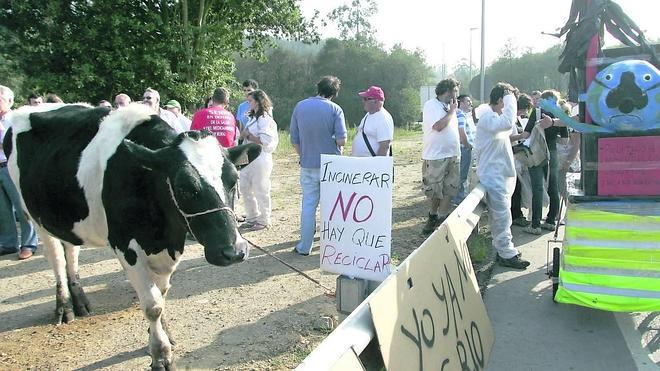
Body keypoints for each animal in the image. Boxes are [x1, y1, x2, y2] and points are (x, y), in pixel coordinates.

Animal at [3, 103, 260, 370]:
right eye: (184, 187)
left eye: (234, 179)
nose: (234, 251)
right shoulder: (126, 247)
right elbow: (153, 305)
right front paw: (160, 354)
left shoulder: (167, 247)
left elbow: (161, 294)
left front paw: (162, 335)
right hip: (35, 216)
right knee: (56, 257)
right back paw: (64, 307)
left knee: (71, 250)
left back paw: (80, 300)